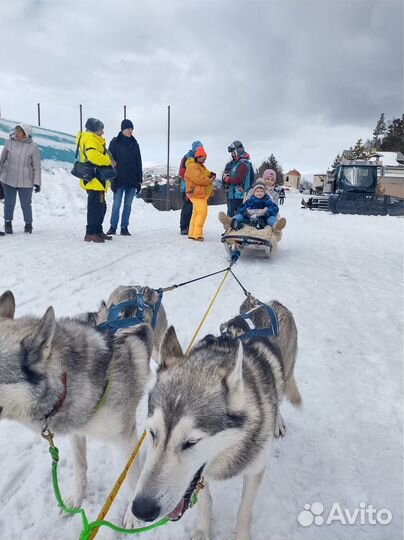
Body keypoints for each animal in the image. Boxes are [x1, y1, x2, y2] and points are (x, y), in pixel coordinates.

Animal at [0, 292, 154, 528]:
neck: (65, 381)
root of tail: (139, 290)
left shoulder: (125, 439)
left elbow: (131, 479)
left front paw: (132, 515)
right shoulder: (76, 432)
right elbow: (80, 468)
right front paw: (75, 500)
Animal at [131, 298, 302, 536]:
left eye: (191, 442)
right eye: (152, 433)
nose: (141, 509)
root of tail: (269, 302)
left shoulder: (255, 470)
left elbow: (244, 512)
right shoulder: (200, 475)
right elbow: (205, 500)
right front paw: (202, 531)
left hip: (285, 374)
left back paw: (277, 420)